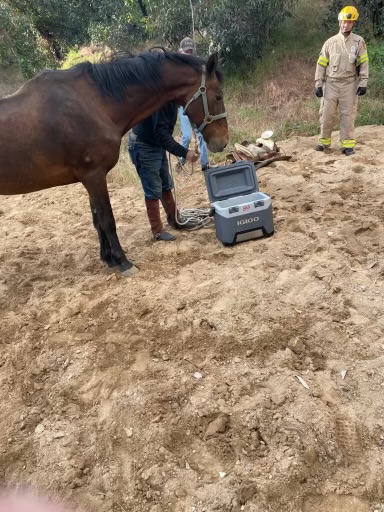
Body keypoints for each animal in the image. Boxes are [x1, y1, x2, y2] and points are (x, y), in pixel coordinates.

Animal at [0, 51, 228, 276]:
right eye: (218, 95)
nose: (224, 141)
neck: (96, 103)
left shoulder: (90, 178)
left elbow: (97, 220)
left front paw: (108, 258)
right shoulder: (94, 176)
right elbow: (107, 219)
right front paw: (123, 261)